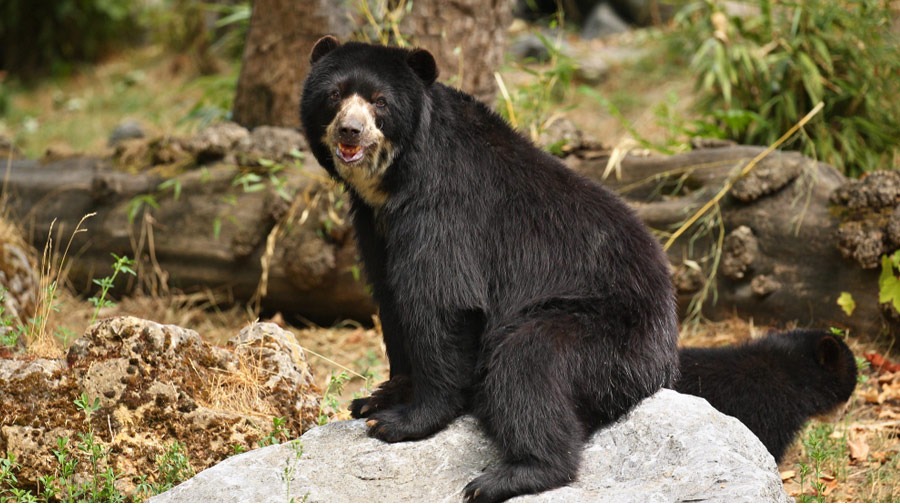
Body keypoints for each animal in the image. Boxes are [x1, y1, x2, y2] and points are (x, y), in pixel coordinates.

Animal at [298, 36, 680, 504]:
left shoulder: (445, 206)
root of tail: (665, 352)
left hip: (606, 333)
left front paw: (401, 421)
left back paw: (509, 475)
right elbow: (390, 296)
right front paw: (376, 399)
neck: (393, 179)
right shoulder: (373, 223)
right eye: (335, 95)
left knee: (528, 364)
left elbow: (441, 299)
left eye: (380, 101)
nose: (349, 131)